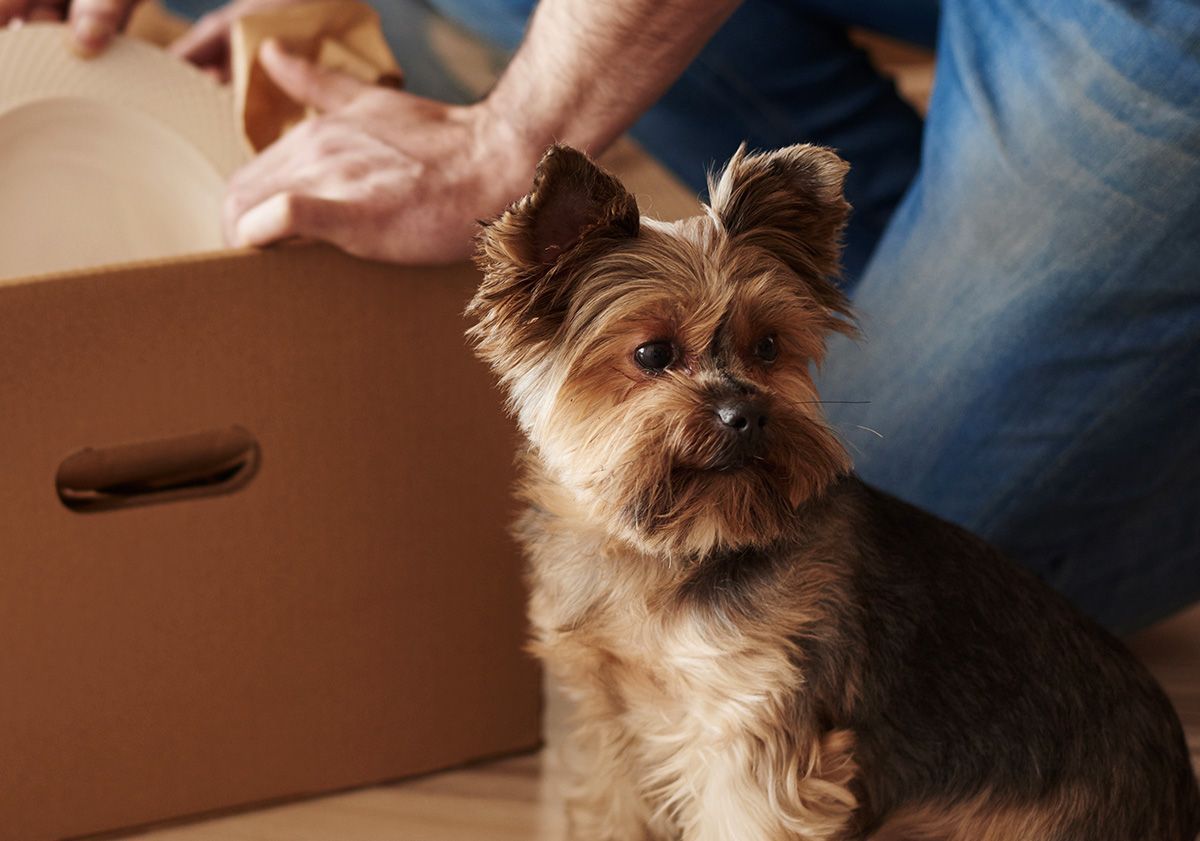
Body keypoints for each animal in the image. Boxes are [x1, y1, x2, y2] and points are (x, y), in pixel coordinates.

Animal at [460, 140, 1200, 835]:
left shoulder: (751, 729)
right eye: (652, 354)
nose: (747, 412)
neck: (674, 551)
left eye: (768, 347)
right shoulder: (614, 719)